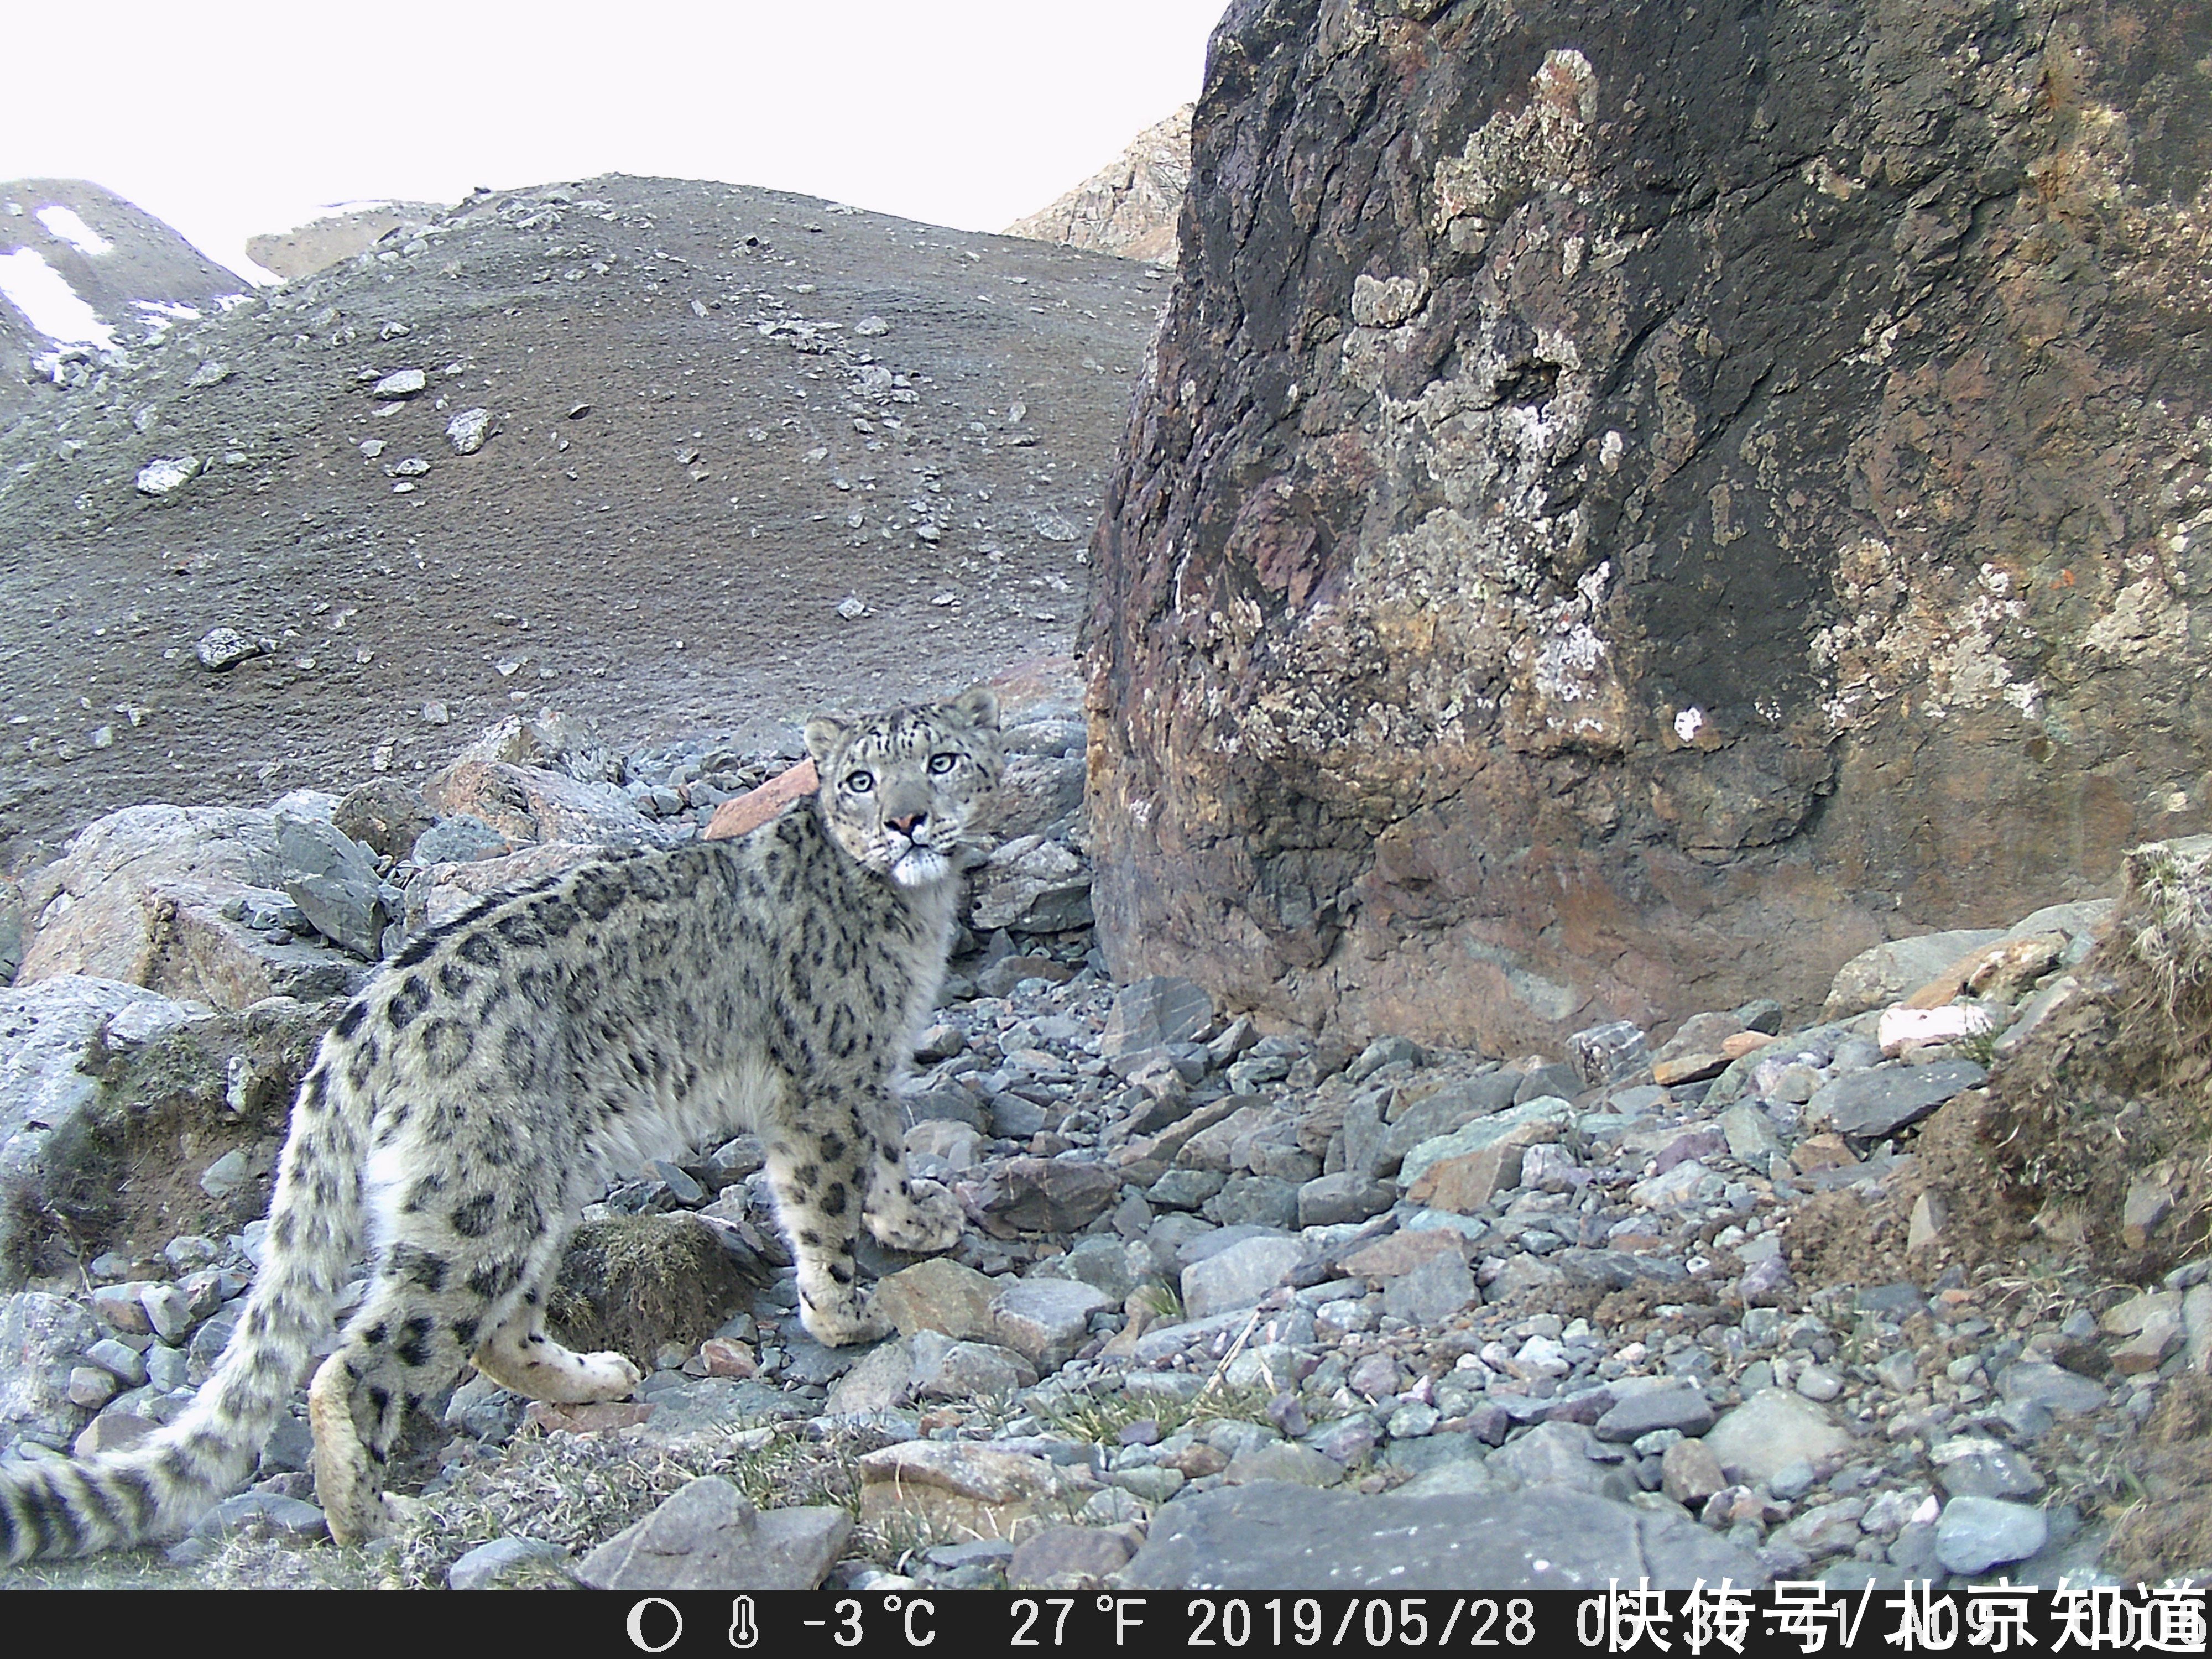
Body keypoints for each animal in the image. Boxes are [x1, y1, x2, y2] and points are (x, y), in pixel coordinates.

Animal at [0, 686, 1004, 1557]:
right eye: (860, 781)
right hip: (476, 1206)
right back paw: (374, 1522)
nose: (907, 821)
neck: (913, 916)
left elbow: (884, 1153)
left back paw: (596, 1377)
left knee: (495, 1332)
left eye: (942, 761)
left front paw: (913, 1219)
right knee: (358, 1361)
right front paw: (846, 1313)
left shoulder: (870, 1067)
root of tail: (369, 1012)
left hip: (527, 1191)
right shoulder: (822, 1083)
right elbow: (822, 1200)